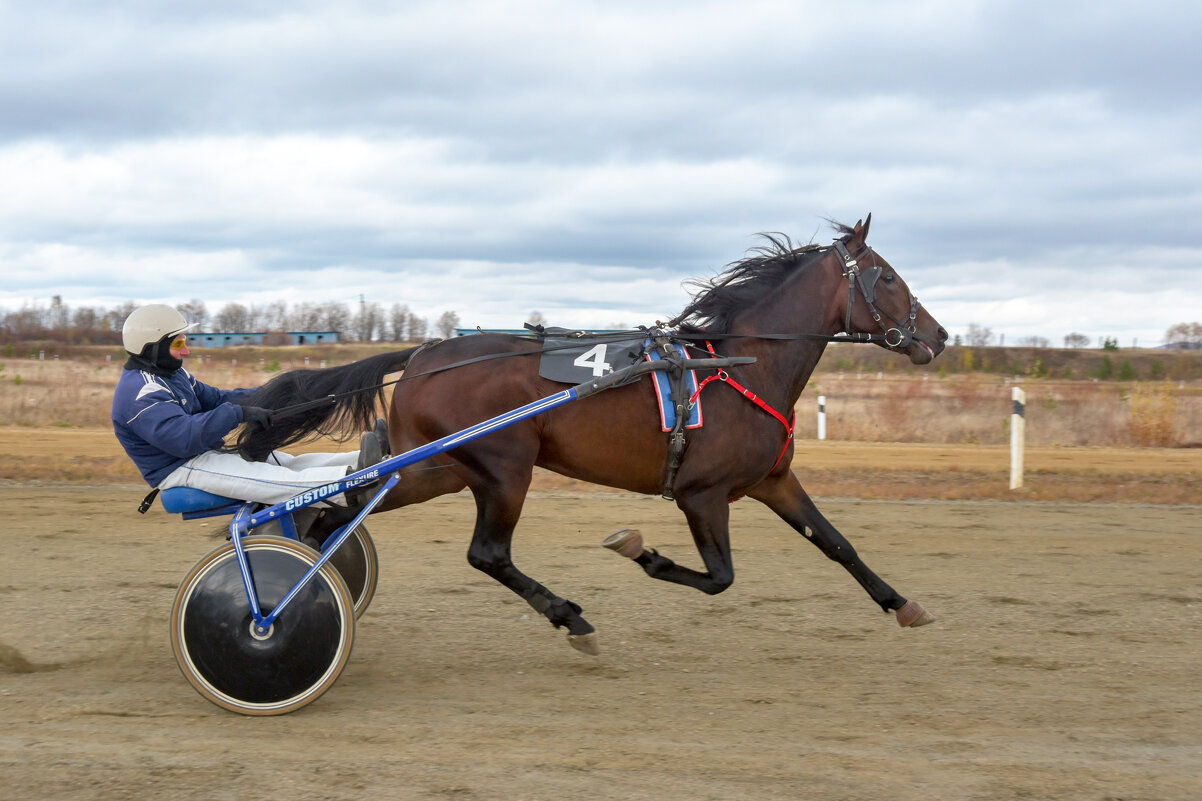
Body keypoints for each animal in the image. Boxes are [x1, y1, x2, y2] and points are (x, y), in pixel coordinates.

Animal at [234, 215, 947, 654]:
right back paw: (570, 617)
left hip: (435, 468)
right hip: (503, 468)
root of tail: (423, 356)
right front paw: (640, 551)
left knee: (341, 514)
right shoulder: (703, 494)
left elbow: (837, 544)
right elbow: (719, 577)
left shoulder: (774, 480)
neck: (741, 366)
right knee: (486, 554)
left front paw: (903, 604)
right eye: (886, 275)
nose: (937, 337)